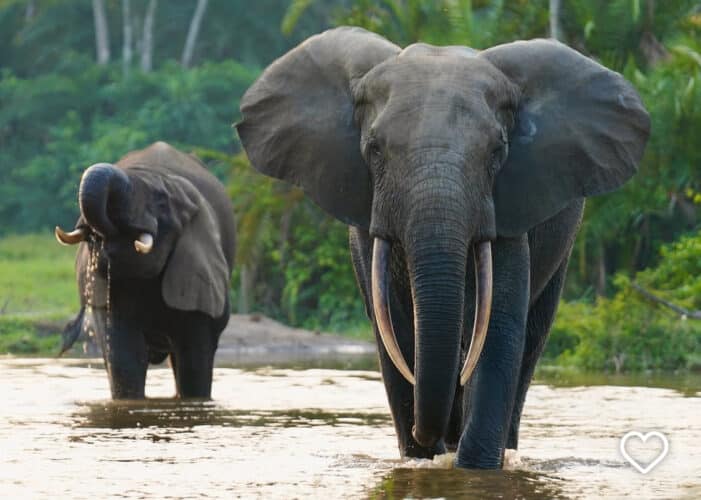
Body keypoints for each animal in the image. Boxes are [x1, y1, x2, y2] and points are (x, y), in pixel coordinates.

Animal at [236, 27, 649, 468]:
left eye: (497, 151)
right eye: (375, 150)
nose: (426, 433)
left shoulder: (508, 209)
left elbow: (498, 326)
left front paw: (473, 467)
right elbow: (395, 329)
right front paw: (420, 460)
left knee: (530, 339)